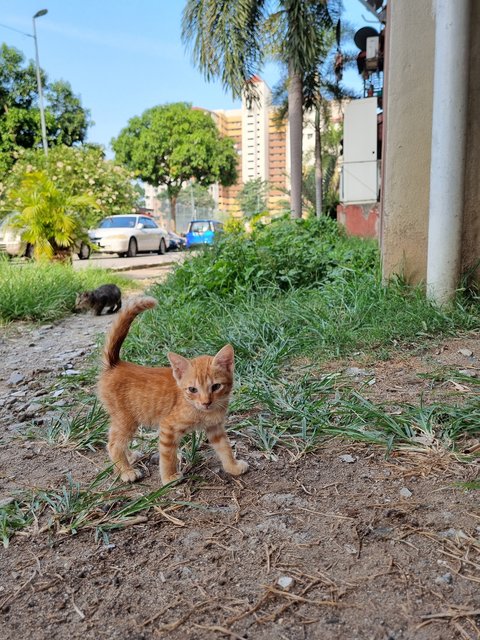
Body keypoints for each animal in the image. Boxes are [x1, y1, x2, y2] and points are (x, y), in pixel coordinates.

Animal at [97, 298, 248, 482]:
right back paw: (126, 472)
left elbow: (225, 448)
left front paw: (233, 467)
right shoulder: (168, 427)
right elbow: (168, 456)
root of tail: (116, 363)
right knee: (113, 444)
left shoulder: (215, 428)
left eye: (216, 386)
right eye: (192, 389)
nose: (206, 402)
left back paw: (129, 458)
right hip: (126, 419)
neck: (201, 411)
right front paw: (169, 477)